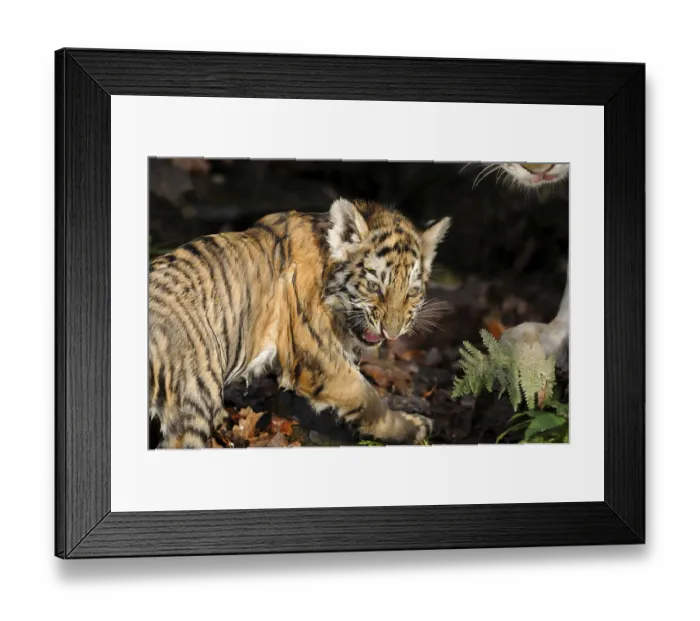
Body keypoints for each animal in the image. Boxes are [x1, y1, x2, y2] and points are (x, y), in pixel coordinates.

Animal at [148, 198, 451, 448]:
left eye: (412, 292)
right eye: (374, 287)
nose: (392, 333)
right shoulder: (320, 358)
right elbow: (369, 399)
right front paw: (414, 427)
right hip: (195, 396)